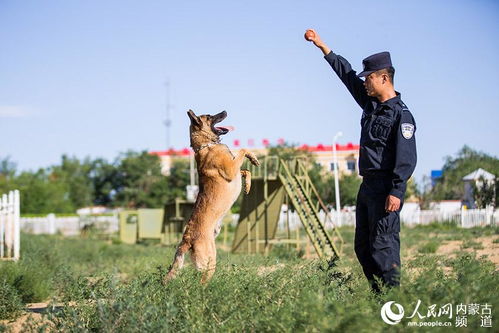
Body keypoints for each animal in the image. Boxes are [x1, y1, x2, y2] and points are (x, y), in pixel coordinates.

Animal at [165, 109, 262, 282]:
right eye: (209, 117)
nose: (225, 111)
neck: (206, 145)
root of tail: (187, 239)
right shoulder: (231, 169)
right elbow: (242, 149)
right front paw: (253, 157)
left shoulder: (235, 171)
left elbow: (246, 170)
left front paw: (248, 185)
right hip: (210, 261)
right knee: (202, 282)